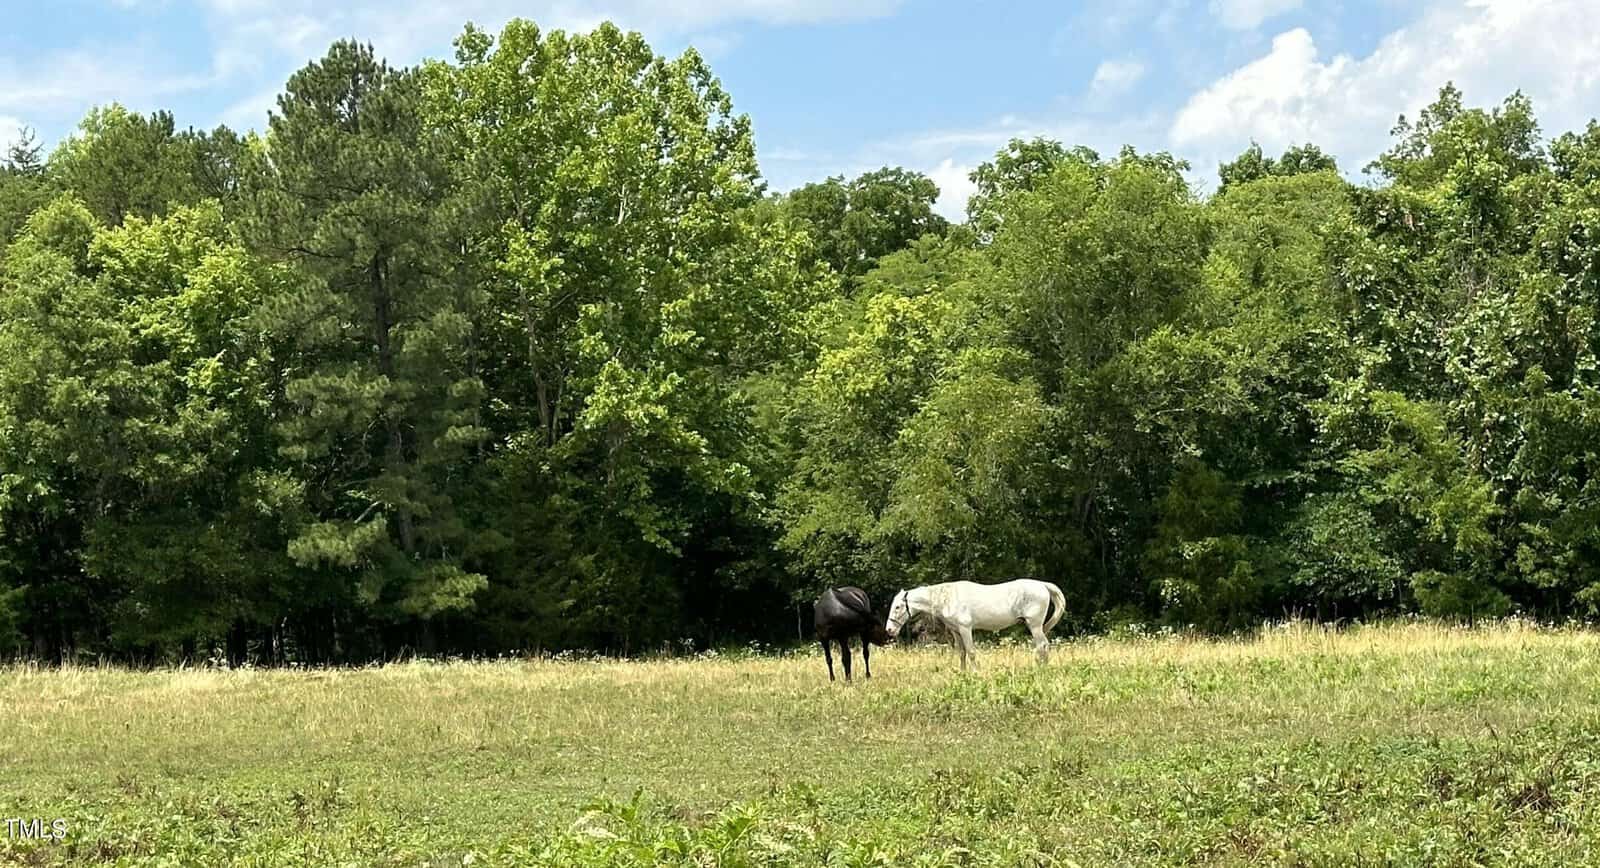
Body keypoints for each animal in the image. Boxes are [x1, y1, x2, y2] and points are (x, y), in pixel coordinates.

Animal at [883, 579, 1066, 671]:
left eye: (897, 607)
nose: (889, 630)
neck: (948, 598)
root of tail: (1042, 585)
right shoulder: (956, 631)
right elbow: (961, 653)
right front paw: (963, 674)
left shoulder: (965, 629)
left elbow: (971, 652)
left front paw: (976, 673)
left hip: (1034, 625)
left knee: (1042, 645)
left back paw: (1040, 669)